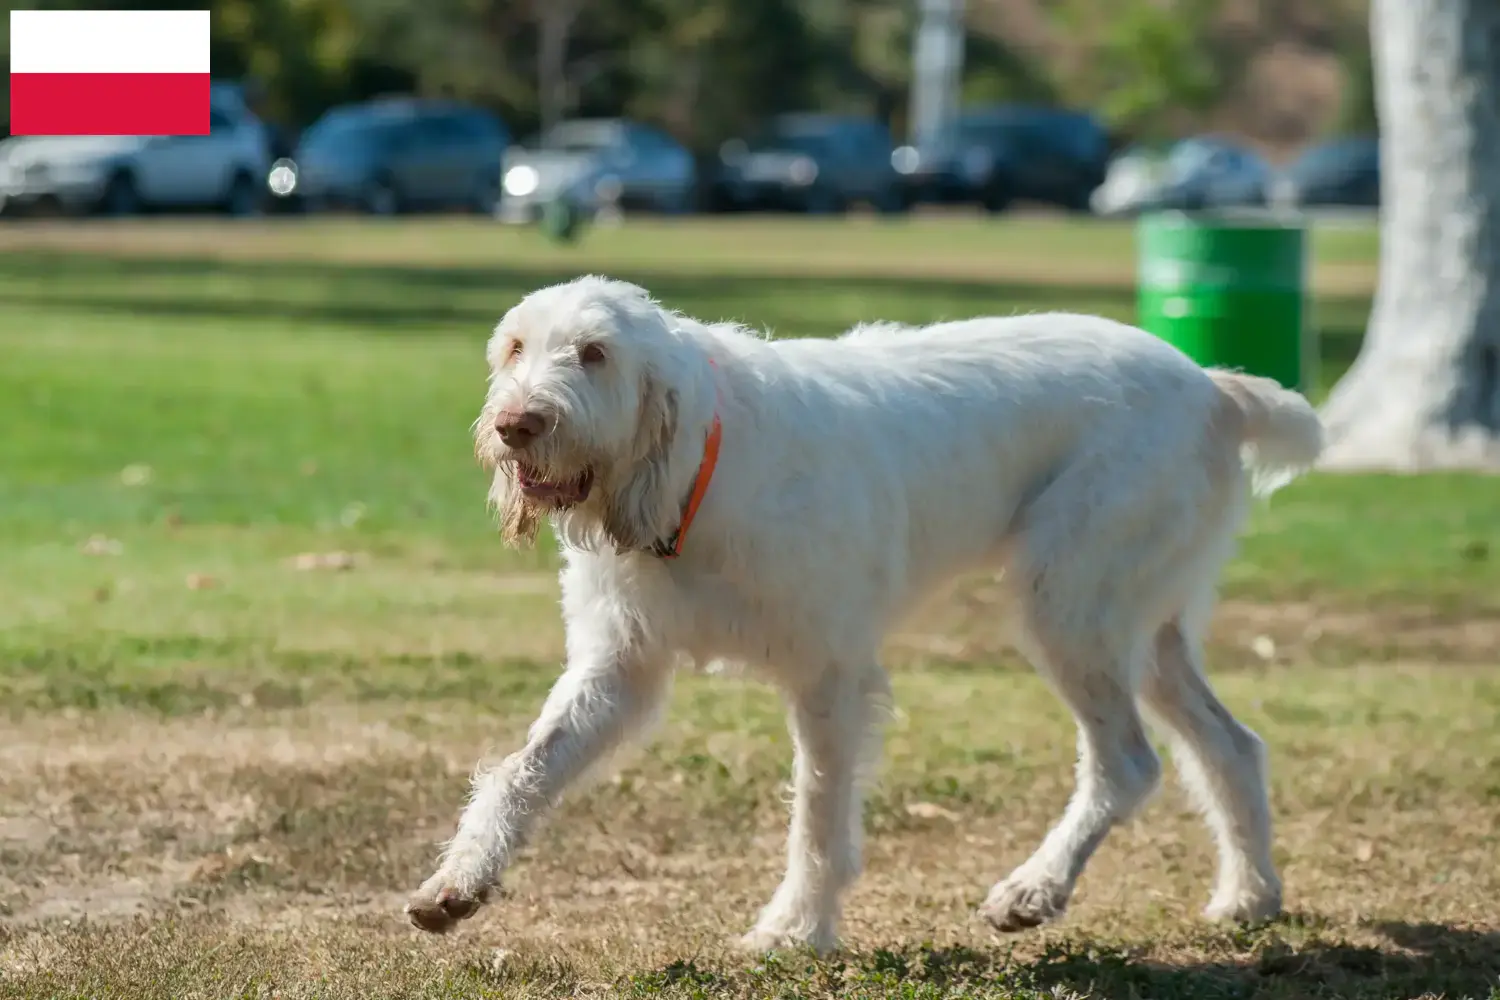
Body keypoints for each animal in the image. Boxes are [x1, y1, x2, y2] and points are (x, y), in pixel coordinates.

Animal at [402, 275, 1326, 953]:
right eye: (515, 348)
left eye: (594, 354)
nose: (516, 425)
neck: (697, 472)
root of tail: (1210, 386)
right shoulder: (616, 672)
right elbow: (525, 769)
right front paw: (459, 885)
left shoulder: (829, 677)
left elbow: (817, 811)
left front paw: (796, 929)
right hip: (1146, 631)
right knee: (1231, 745)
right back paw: (1250, 894)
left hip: (1070, 609)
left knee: (1127, 763)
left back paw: (1034, 889)